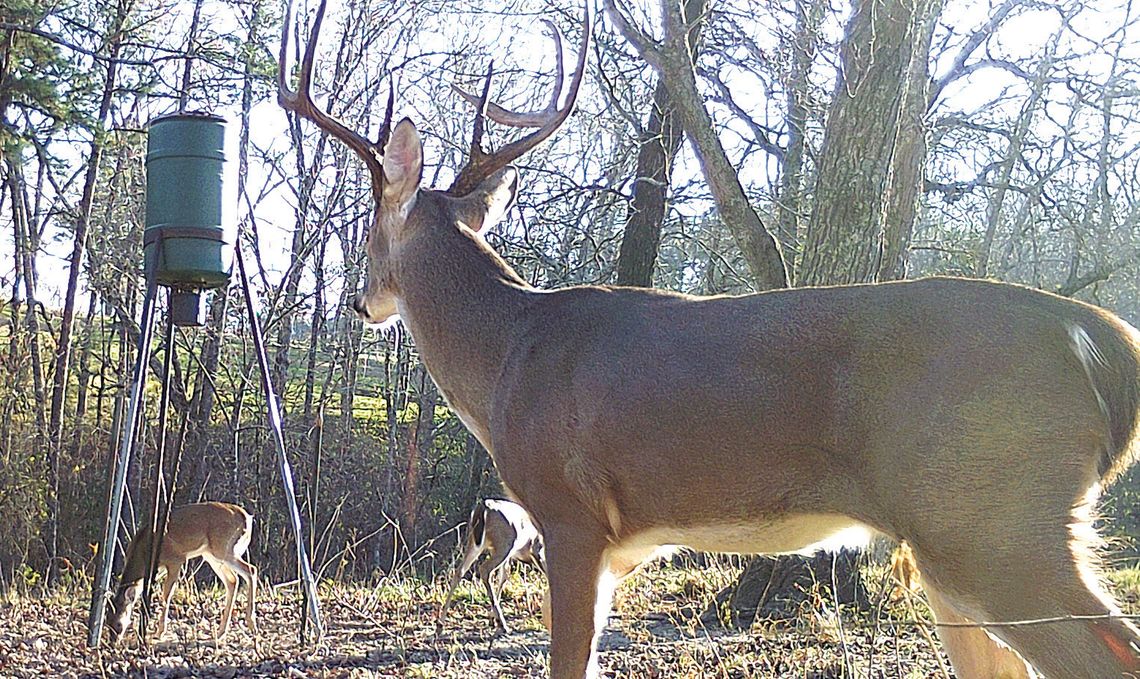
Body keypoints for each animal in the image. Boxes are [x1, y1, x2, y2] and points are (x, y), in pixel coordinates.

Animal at [107, 501, 258, 642]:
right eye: (107, 623)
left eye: (119, 625)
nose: (113, 643)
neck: (143, 554)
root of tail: (247, 517)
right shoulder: (158, 570)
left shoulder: (176, 560)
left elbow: (166, 595)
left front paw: (159, 632)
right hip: (211, 554)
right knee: (233, 580)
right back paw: (221, 632)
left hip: (223, 548)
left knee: (251, 569)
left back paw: (251, 623)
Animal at [435, 496, 547, 633]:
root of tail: (484, 506)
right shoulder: (536, 549)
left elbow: (503, 577)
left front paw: (491, 619)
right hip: (504, 544)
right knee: (484, 569)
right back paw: (503, 624)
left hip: (475, 543)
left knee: (460, 571)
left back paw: (440, 625)